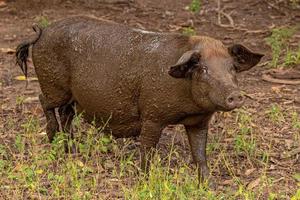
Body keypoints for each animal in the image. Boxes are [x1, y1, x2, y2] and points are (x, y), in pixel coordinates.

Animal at [16, 15, 264, 181]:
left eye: (232, 68)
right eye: (203, 69)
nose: (236, 95)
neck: (188, 108)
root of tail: (42, 31)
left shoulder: (199, 121)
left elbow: (199, 154)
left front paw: (207, 184)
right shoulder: (152, 116)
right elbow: (147, 149)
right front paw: (146, 179)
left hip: (72, 97)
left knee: (66, 113)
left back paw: (71, 150)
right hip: (54, 87)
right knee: (43, 99)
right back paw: (52, 139)